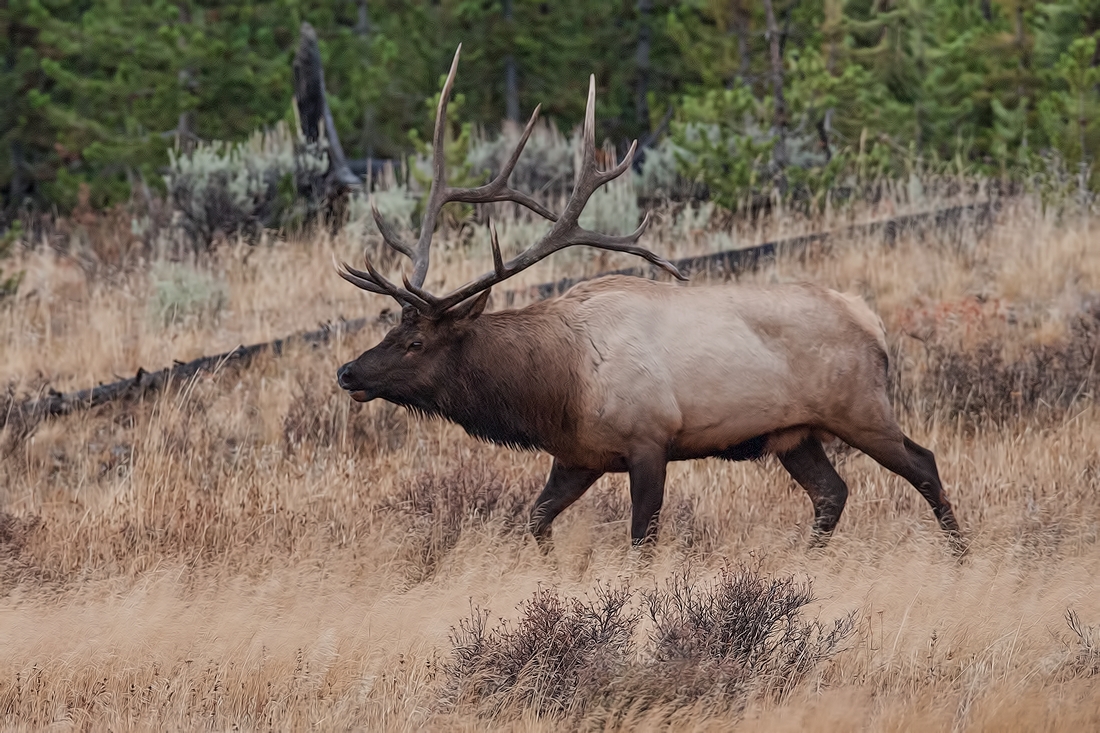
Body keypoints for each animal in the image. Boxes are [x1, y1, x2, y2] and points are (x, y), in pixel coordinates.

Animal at [334, 48, 963, 550]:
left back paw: (960, 556)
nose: (347, 372)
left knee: (924, 464)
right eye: (389, 330)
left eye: (416, 342)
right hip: (797, 433)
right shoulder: (578, 455)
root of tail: (872, 321)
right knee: (832, 492)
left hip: (860, 407)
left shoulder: (649, 440)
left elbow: (642, 538)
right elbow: (535, 520)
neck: (553, 388)